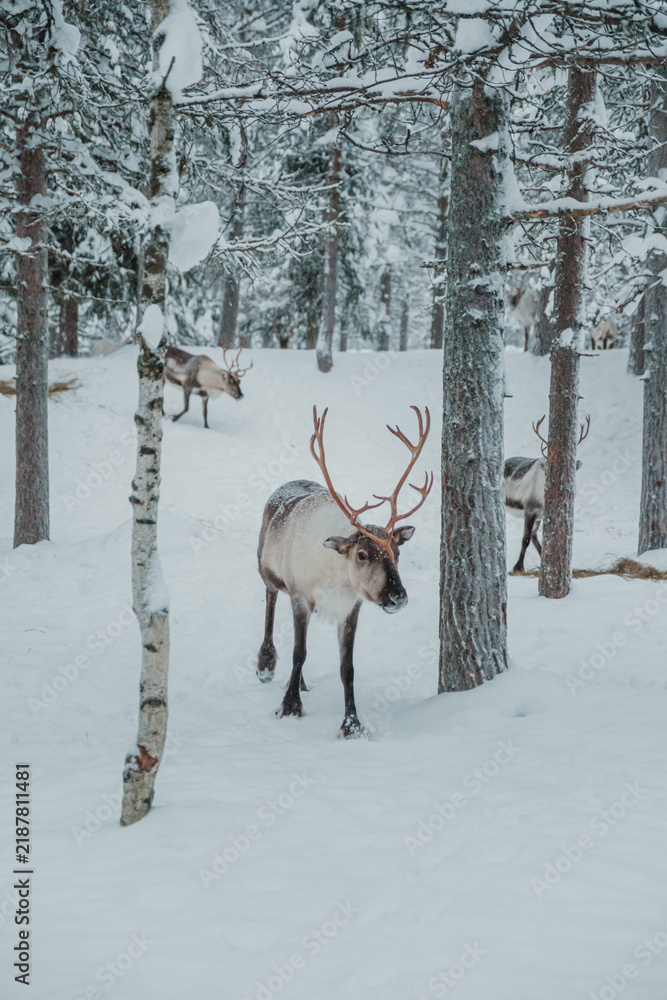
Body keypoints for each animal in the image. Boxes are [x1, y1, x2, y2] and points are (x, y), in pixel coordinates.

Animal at [256, 405, 433, 739]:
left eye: (398, 553)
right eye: (362, 554)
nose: (398, 597)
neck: (337, 580)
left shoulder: (352, 608)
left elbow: (347, 668)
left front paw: (351, 724)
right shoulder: (300, 596)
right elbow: (299, 651)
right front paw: (289, 706)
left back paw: (297, 681)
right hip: (265, 566)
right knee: (271, 598)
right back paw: (266, 664)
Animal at [505, 415, 590, 573]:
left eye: (572, 471)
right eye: (547, 472)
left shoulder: (542, 515)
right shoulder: (529, 510)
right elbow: (525, 539)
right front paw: (518, 567)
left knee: (534, 537)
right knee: (530, 537)